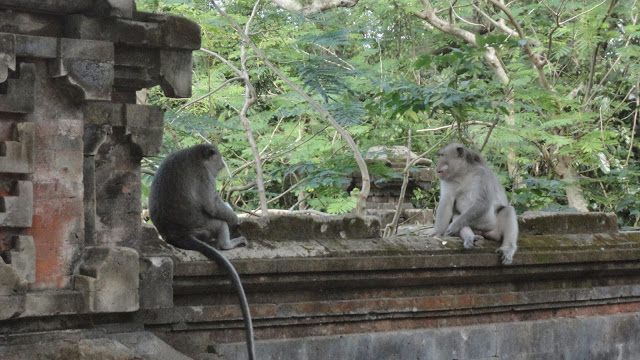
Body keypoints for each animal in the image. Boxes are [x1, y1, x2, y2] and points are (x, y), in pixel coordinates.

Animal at [149, 143, 256, 360]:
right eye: (219, 159)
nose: (222, 165)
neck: (195, 153)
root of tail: (176, 235)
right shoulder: (204, 175)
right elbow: (212, 204)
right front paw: (234, 219)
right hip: (204, 226)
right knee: (219, 221)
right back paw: (227, 244)